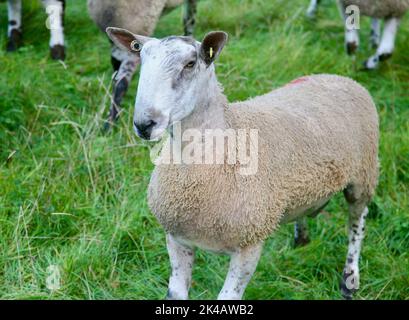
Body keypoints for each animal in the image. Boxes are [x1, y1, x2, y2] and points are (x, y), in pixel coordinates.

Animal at [106, 27, 380, 300]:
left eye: (190, 64)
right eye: (142, 60)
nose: (144, 124)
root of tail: (337, 77)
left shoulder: (249, 244)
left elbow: (228, 297)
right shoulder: (176, 238)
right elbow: (176, 294)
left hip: (363, 175)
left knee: (357, 222)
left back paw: (350, 278)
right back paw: (301, 239)